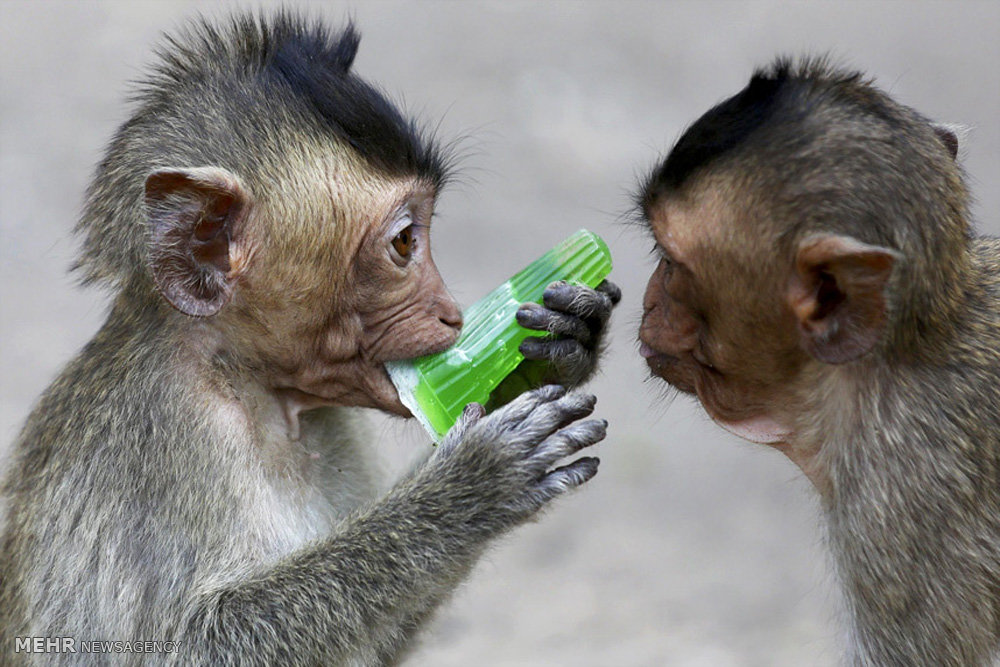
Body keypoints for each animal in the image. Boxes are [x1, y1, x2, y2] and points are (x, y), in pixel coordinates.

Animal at [0, 13, 620, 665]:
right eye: (405, 242)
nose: (453, 315)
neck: (244, 381)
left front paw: (559, 349)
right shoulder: (166, 435)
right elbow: (183, 646)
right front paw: (465, 491)